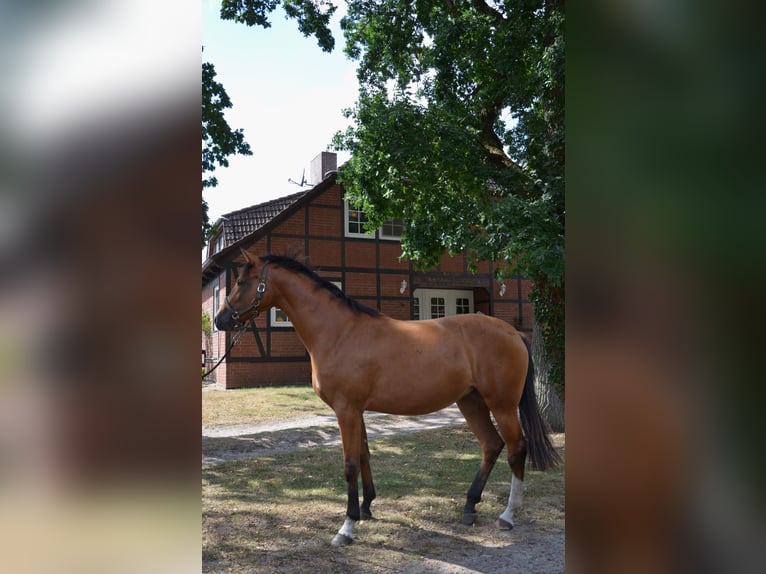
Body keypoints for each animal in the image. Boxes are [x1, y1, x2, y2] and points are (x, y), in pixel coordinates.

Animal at [216, 252, 564, 548]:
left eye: (242, 282)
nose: (221, 320)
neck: (340, 332)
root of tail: (513, 333)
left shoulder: (346, 410)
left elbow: (350, 464)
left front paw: (347, 527)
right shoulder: (356, 410)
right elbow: (365, 456)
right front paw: (367, 507)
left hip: (501, 405)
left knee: (517, 448)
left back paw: (507, 515)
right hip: (471, 402)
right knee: (491, 445)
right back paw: (469, 507)